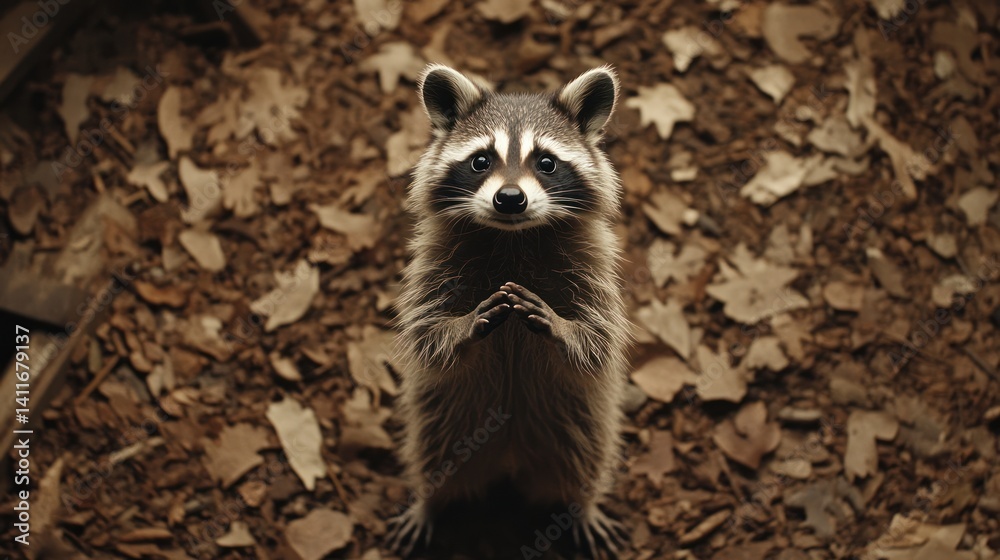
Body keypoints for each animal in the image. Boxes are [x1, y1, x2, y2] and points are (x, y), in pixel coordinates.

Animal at [391, 64, 631, 557]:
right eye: (481, 161)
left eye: (547, 162)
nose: (510, 198)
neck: (513, 238)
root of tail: (509, 457)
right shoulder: (432, 264)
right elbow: (426, 334)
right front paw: (462, 327)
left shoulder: (595, 269)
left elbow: (598, 339)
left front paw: (562, 327)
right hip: (447, 421)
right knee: (433, 454)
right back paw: (429, 499)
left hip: (579, 423)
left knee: (585, 457)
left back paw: (582, 503)